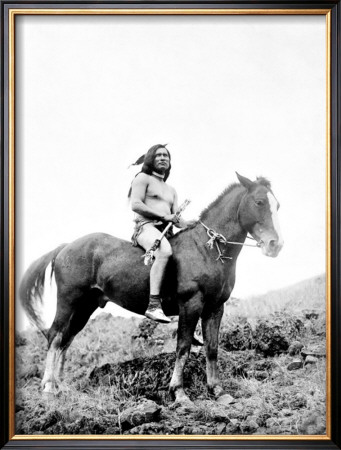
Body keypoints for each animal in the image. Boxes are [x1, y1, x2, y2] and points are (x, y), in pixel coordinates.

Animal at [19, 173, 282, 404]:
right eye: (259, 202)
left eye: (277, 205)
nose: (275, 245)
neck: (206, 249)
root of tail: (66, 247)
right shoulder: (190, 304)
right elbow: (183, 347)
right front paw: (179, 392)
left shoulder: (215, 308)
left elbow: (212, 348)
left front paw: (217, 390)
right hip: (68, 301)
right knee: (55, 336)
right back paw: (48, 387)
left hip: (85, 307)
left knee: (66, 339)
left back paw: (59, 385)